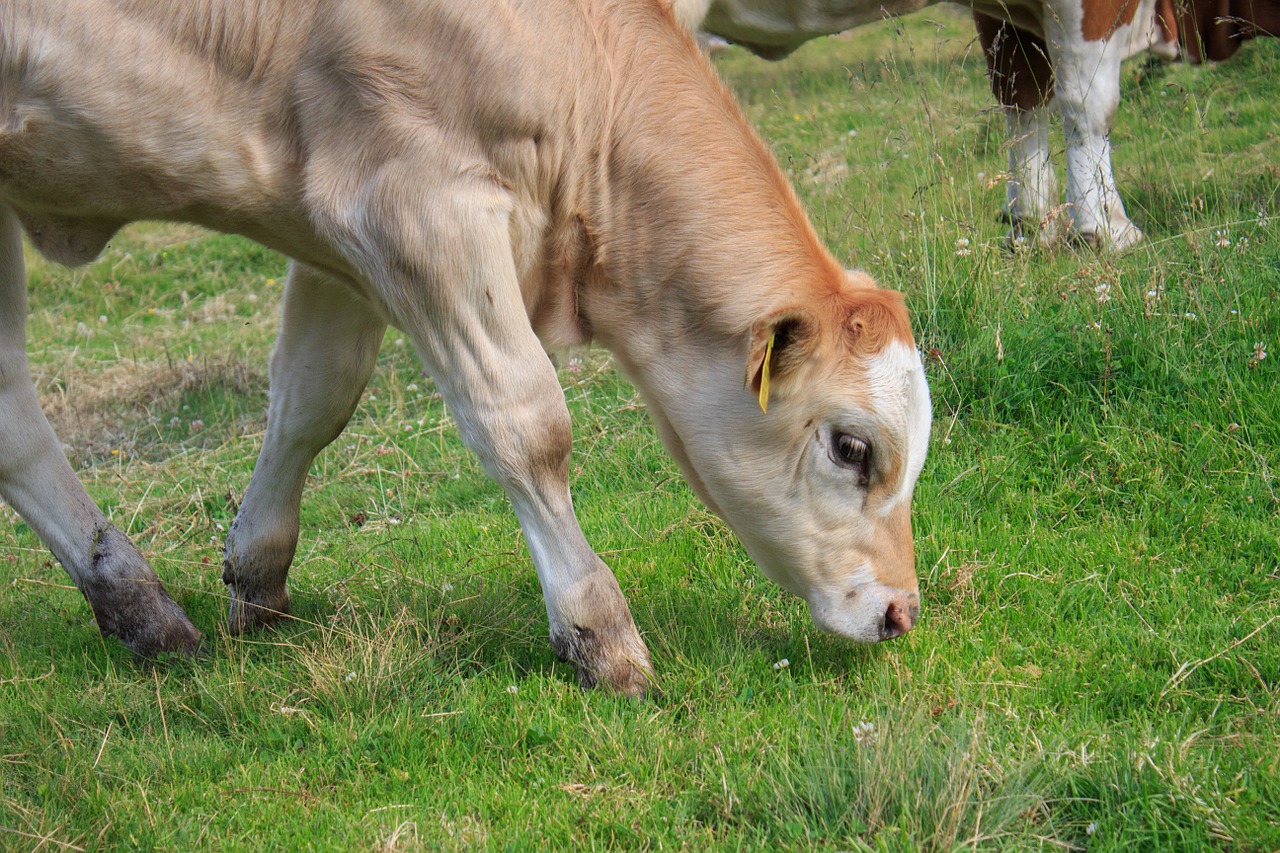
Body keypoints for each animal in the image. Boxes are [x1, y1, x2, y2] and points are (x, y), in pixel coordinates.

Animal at [0, 0, 931, 691]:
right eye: (853, 448)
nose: (901, 612)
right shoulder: (416, 205)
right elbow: (527, 425)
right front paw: (599, 632)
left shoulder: (340, 239)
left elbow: (314, 396)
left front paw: (256, 577)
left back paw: (134, 602)